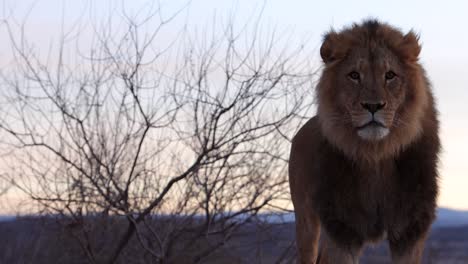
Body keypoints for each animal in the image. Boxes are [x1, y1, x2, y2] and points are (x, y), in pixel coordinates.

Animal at [288, 19, 438, 264]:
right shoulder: (342, 227)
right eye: (354, 75)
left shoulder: (411, 228)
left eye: (390, 75)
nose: (373, 106)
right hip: (306, 221)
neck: (376, 153)